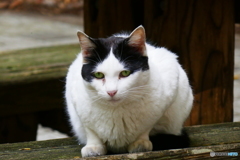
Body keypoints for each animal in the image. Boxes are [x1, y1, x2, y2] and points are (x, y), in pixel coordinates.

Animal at [65, 25, 193, 157]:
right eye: (99, 75)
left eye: (125, 73)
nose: (111, 92)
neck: (116, 112)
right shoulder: (77, 102)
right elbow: (91, 131)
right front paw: (93, 146)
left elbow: (146, 128)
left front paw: (141, 142)